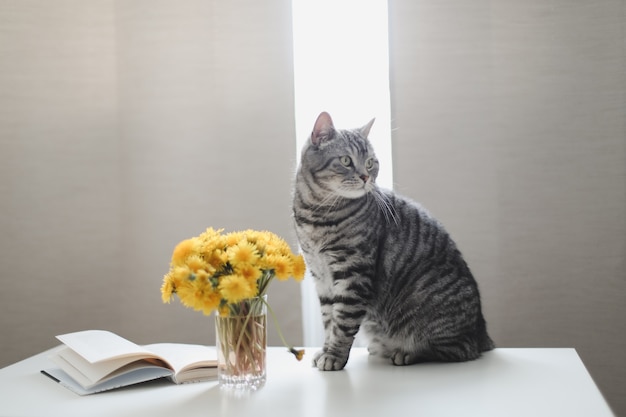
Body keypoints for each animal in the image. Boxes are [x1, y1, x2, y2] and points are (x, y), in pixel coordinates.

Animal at [292, 111, 492, 370]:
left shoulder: (353, 275)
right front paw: (326, 349)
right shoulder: (321, 276)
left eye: (370, 162)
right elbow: (330, 321)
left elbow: (343, 322)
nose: (365, 176)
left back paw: (407, 353)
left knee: (459, 349)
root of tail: (481, 331)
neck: (317, 214)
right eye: (346, 161)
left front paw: (334, 356)